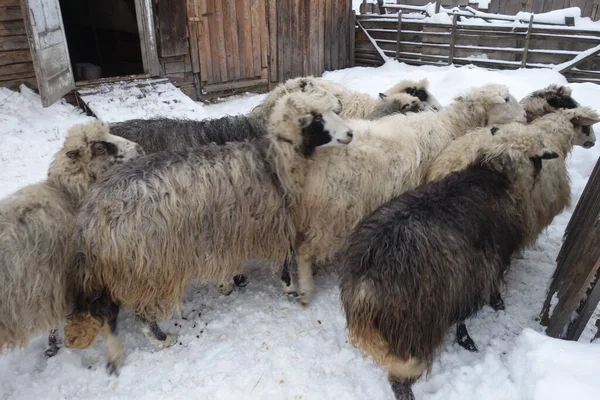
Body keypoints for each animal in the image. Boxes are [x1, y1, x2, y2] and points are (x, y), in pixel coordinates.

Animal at [61, 87, 354, 376]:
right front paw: (289, 287)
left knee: (107, 314)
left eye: (334, 110)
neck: (273, 159)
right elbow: (284, 260)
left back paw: (116, 356)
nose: (350, 134)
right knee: (139, 312)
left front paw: (230, 283)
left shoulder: (234, 230)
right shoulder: (276, 225)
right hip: (143, 268)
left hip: (119, 267)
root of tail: (90, 214)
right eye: (317, 117)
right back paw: (161, 338)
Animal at [288, 83, 528, 304]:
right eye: (506, 99)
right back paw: (305, 290)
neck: (450, 125)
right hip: (332, 215)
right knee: (304, 251)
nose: (525, 115)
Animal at [336, 130, 560, 398]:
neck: (493, 177)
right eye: (539, 160)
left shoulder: (463, 279)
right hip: (416, 331)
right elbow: (481, 300)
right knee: (399, 381)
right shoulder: (480, 271)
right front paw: (491, 312)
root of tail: (365, 285)